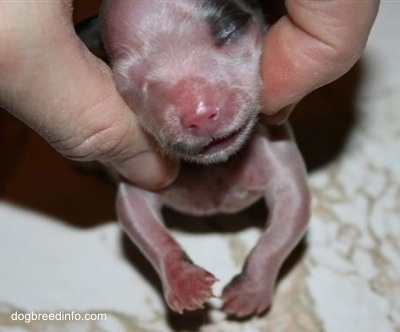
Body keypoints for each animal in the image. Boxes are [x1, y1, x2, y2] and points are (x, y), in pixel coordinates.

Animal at [79, 0, 310, 316]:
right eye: (131, 81)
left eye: (229, 29)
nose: (198, 114)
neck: (215, 164)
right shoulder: (147, 173)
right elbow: (138, 217)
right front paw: (185, 283)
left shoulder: (274, 145)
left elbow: (291, 210)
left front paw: (249, 290)